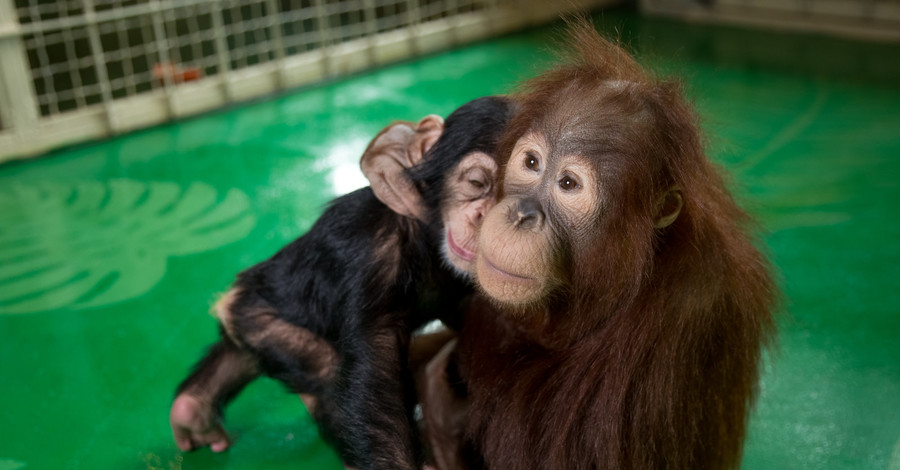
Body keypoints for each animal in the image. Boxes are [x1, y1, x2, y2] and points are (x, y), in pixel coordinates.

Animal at [169, 95, 512, 470]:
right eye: (477, 183)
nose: (484, 221)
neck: (428, 235)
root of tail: (231, 298)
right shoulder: (371, 246)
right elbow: (375, 376)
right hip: (255, 316)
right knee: (325, 370)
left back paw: (192, 409)